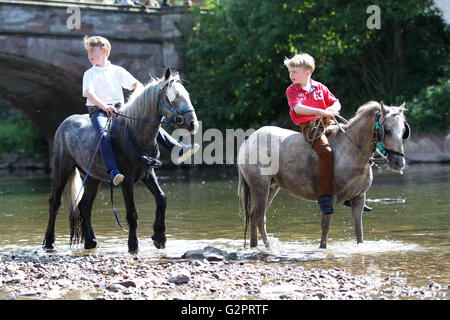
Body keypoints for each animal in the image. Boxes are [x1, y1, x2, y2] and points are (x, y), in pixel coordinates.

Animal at [44, 68, 199, 252]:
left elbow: (162, 199)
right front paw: (133, 245)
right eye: (172, 96)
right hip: (62, 170)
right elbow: (132, 213)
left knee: (84, 206)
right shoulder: (127, 180)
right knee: (54, 203)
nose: (193, 123)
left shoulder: (147, 174)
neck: (134, 133)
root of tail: (63, 125)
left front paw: (159, 237)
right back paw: (49, 242)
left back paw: (91, 241)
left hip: (92, 177)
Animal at [239, 101, 412, 249]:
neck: (351, 152)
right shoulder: (329, 198)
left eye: (404, 131)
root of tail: (248, 141)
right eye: (387, 130)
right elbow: (325, 227)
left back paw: (254, 246)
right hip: (260, 187)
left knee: (255, 216)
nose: (398, 162)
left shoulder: (358, 198)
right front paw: (322, 248)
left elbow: (359, 230)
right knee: (259, 217)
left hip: (272, 187)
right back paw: (269, 247)